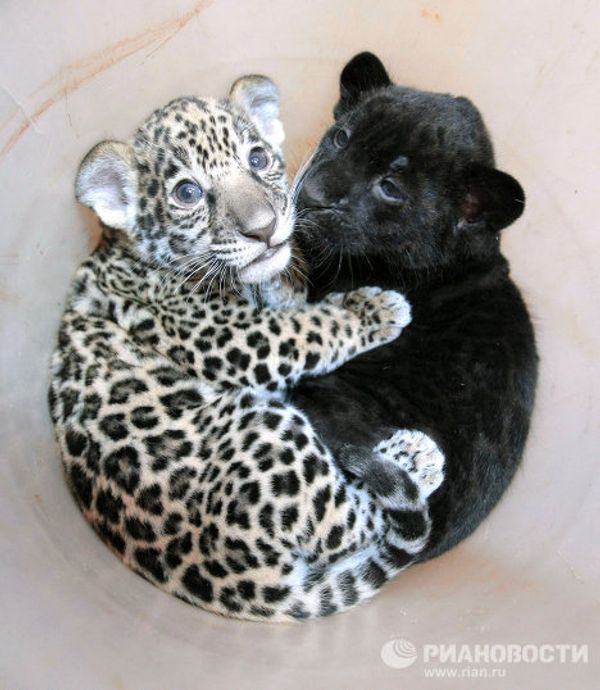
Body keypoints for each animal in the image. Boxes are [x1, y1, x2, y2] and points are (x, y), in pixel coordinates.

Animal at [48, 75, 446, 621]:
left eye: (258, 158)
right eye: (188, 193)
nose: (263, 228)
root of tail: (246, 587)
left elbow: (294, 306)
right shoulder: (229, 338)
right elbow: (308, 329)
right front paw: (374, 309)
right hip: (268, 431)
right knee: (349, 525)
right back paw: (413, 455)